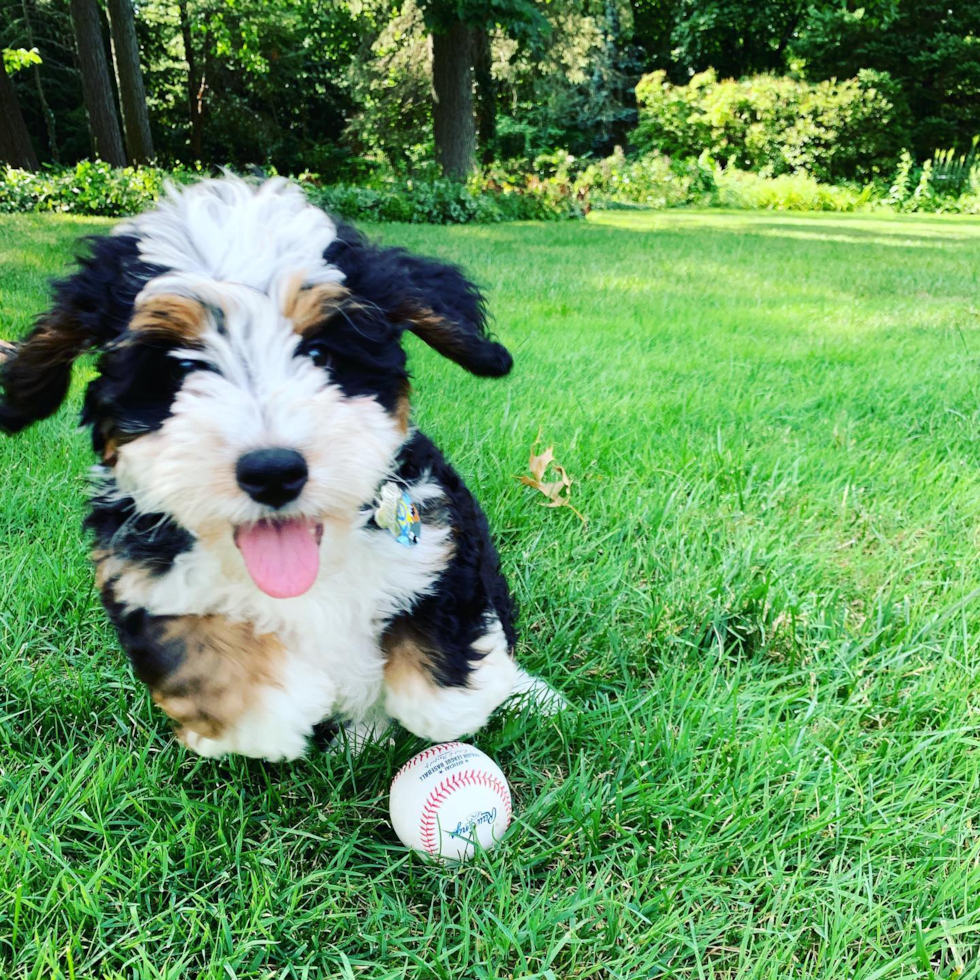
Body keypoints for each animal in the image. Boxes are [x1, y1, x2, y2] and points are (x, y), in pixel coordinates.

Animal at [0, 174, 564, 756]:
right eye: (179, 368)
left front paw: (456, 702)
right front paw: (271, 714)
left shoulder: (438, 536)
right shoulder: (141, 576)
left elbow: (440, 656)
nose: (272, 471)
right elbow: (196, 648)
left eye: (318, 354)